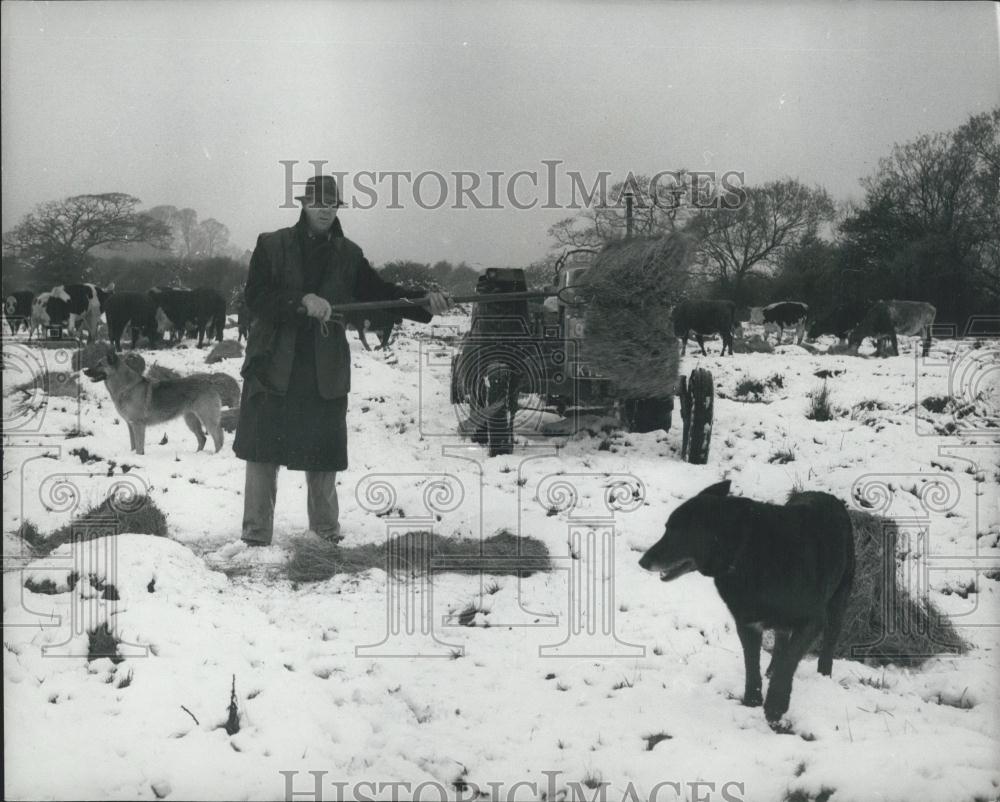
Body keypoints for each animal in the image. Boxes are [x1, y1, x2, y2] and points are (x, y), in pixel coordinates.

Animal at [640, 482, 852, 724]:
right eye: (667, 528)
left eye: (676, 531)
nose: (642, 561)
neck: (746, 551)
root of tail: (825, 495)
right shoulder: (747, 623)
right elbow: (752, 664)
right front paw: (752, 700)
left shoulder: (812, 621)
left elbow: (789, 661)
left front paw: (775, 705)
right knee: (781, 640)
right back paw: (771, 669)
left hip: (837, 604)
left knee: (828, 644)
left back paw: (824, 675)